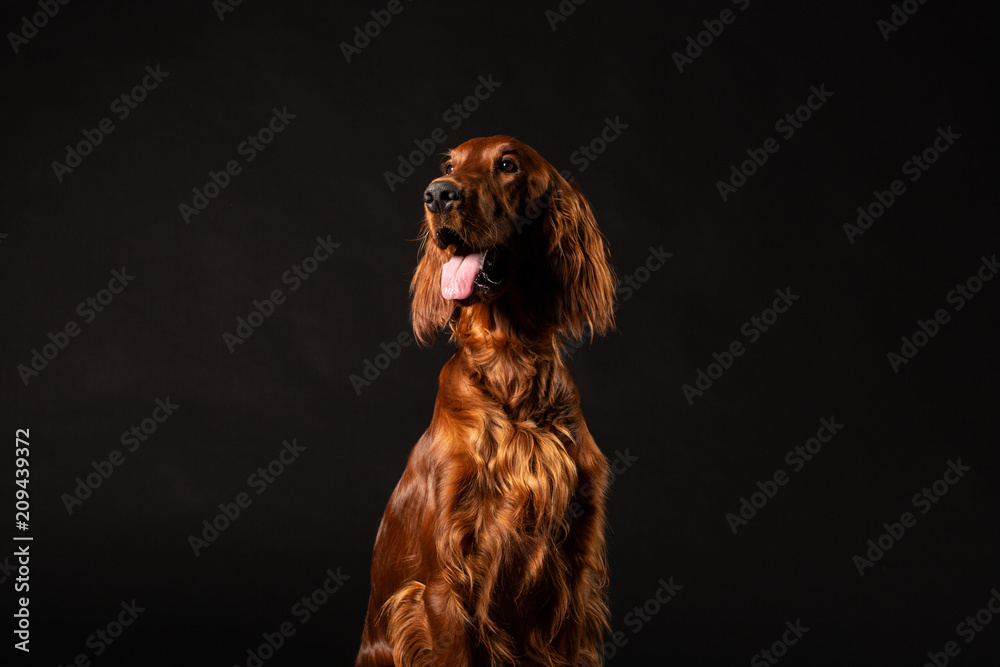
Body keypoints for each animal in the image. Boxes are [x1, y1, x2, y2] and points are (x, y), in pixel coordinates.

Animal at [356, 136, 612, 667]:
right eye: (449, 165)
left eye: (507, 165)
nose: (438, 194)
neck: (509, 365)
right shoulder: (443, 585)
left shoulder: (574, 576)